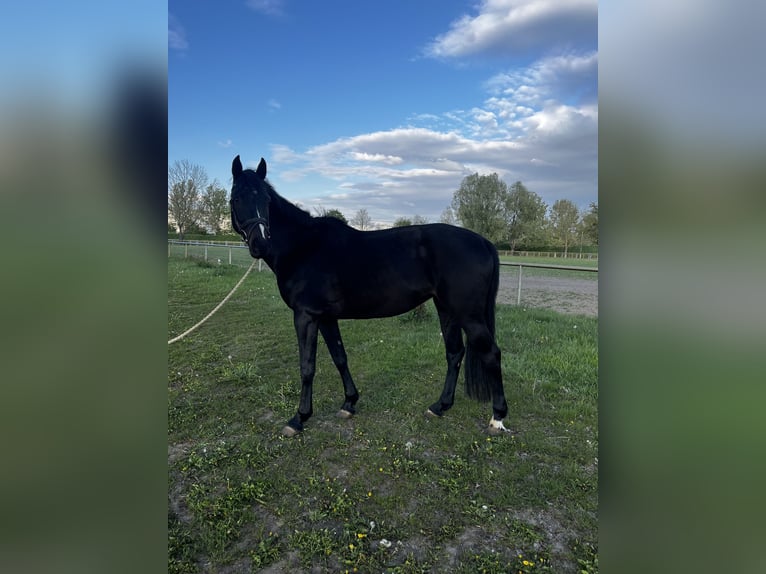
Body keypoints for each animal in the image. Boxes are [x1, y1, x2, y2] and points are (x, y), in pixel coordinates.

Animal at [231, 156, 512, 436]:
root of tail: (484, 242)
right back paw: (439, 407)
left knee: (491, 354)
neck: (303, 248)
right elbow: (339, 357)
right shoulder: (325, 317)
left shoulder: (306, 316)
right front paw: (349, 403)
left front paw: (299, 418)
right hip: (447, 309)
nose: (260, 244)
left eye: (266, 200)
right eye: (236, 199)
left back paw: (497, 418)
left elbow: (307, 366)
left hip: (468, 315)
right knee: (454, 353)